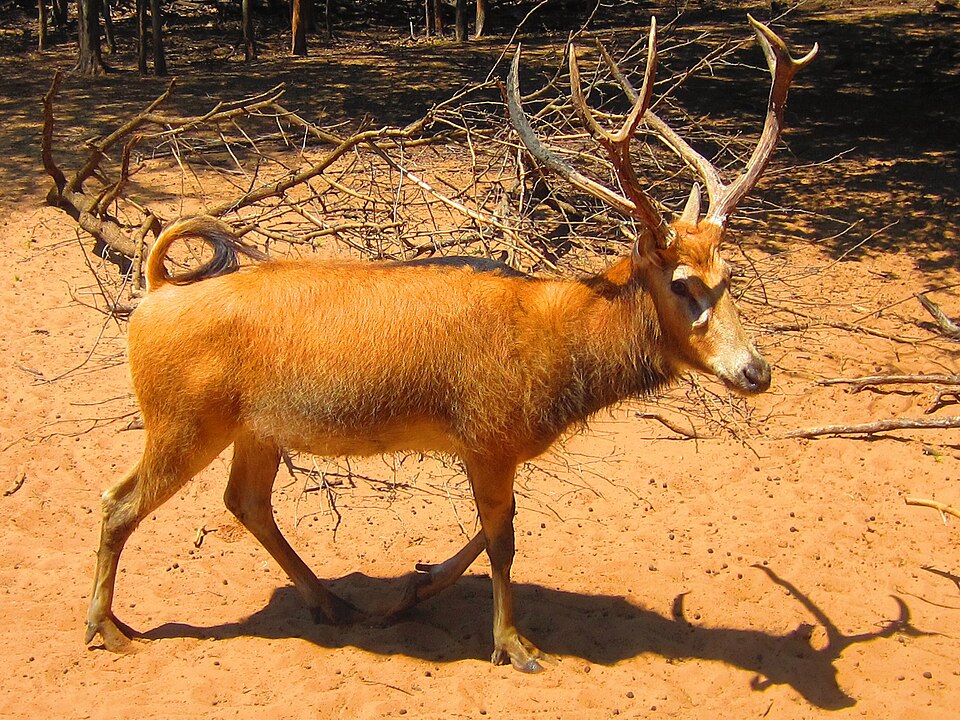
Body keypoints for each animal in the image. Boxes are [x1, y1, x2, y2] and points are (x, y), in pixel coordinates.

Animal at [84, 16, 816, 673]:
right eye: (683, 283)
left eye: (731, 275)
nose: (756, 371)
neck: (551, 342)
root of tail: (155, 290)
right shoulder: (489, 436)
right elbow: (504, 540)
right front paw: (514, 646)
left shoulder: (485, 447)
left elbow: (492, 533)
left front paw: (414, 589)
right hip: (183, 420)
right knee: (118, 500)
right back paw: (108, 630)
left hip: (256, 429)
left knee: (245, 501)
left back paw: (333, 603)